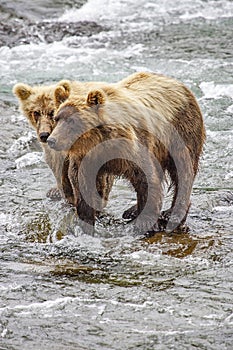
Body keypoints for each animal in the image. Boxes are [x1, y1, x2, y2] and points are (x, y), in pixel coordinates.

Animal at [46, 72, 206, 235]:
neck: (100, 142)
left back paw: (171, 214)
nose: (51, 140)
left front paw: (145, 222)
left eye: (72, 121)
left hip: (180, 132)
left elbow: (145, 177)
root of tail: (178, 83)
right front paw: (86, 220)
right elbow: (82, 182)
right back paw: (132, 210)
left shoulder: (131, 148)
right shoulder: (87, 157)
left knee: (183, 171)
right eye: (57, 118)